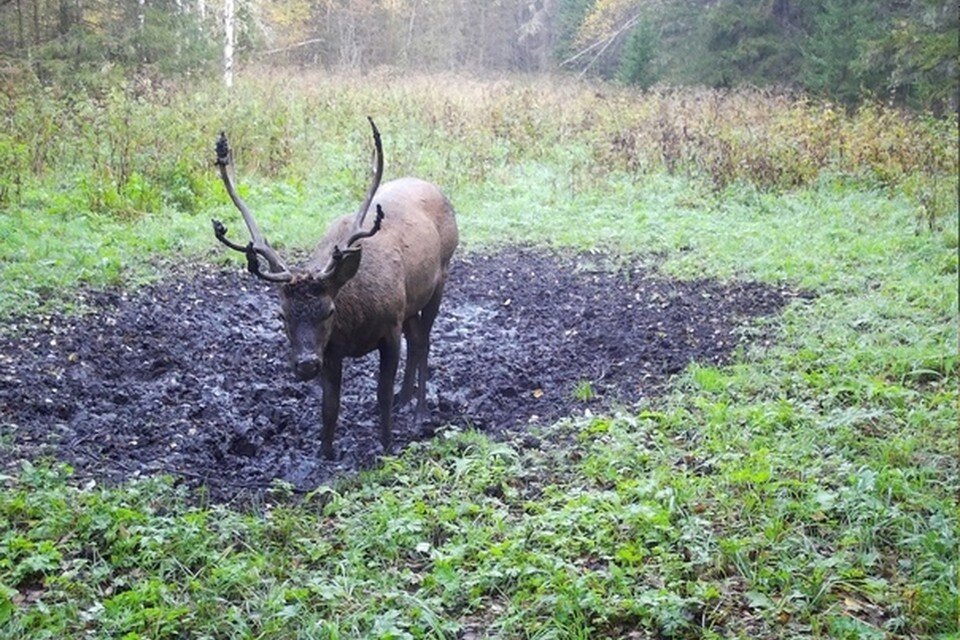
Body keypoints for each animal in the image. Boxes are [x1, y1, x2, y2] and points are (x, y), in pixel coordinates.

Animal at [212, 119, 460, 460]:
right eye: (281, 315)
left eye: (329, 310)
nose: (305, 364)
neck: (354, 324)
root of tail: (437, 189)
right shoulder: (330, 348)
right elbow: (330, 405)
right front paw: (324, 453)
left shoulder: (390, 326)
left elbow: (381, 393)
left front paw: (387, 445)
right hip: (410, 303)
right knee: (416, 337)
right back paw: (405, 398)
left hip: (441, 276)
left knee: (424, 342)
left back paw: (420, 411)